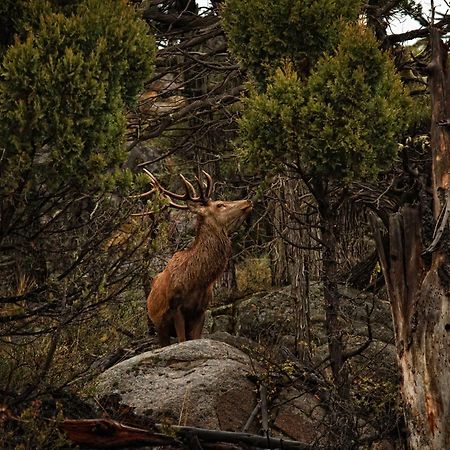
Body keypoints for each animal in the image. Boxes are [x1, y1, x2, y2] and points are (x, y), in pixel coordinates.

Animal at [140, 170, 253, 348]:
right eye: (220, 204)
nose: (248, 200)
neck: (196, 282)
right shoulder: (176, 308)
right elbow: (182, 341)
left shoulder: (201, 310)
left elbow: (196, 338)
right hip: (159, 325)